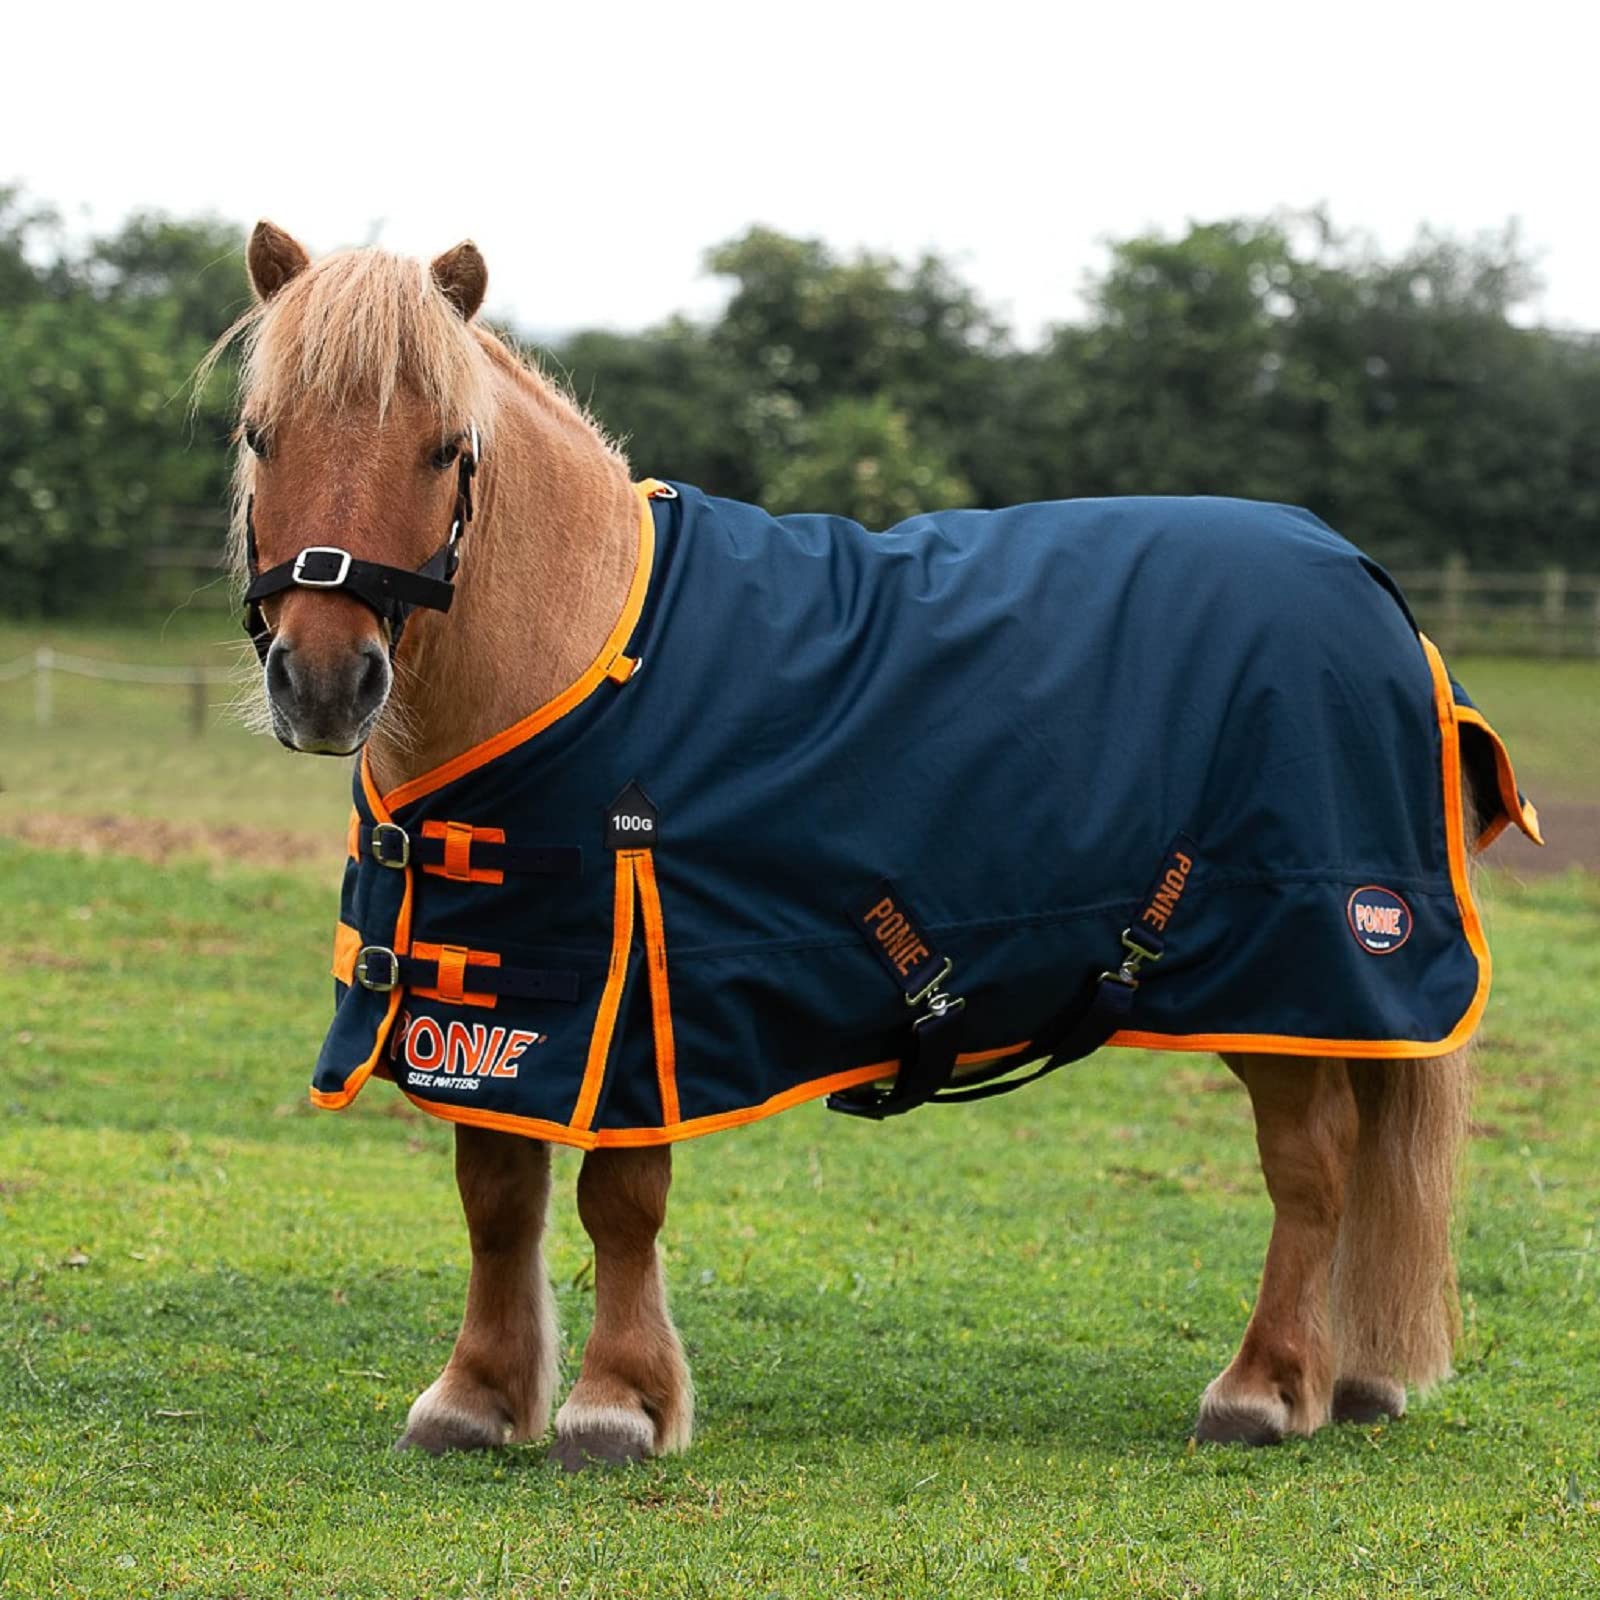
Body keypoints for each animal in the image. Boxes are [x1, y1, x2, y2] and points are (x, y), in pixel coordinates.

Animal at [210, 221, 1538, 1468]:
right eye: (262, 435)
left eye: (447, 447)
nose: (324, 681)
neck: (580, 658)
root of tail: (1370, 588)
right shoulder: (500, 983)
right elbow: (495, 1194)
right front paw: (477, 1398)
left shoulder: (640, 1003)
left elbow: (619, 1198)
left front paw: (617, 1403)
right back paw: (1348, 1377)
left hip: (1298, 971)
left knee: (1312, 1169)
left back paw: (1265, 1386)